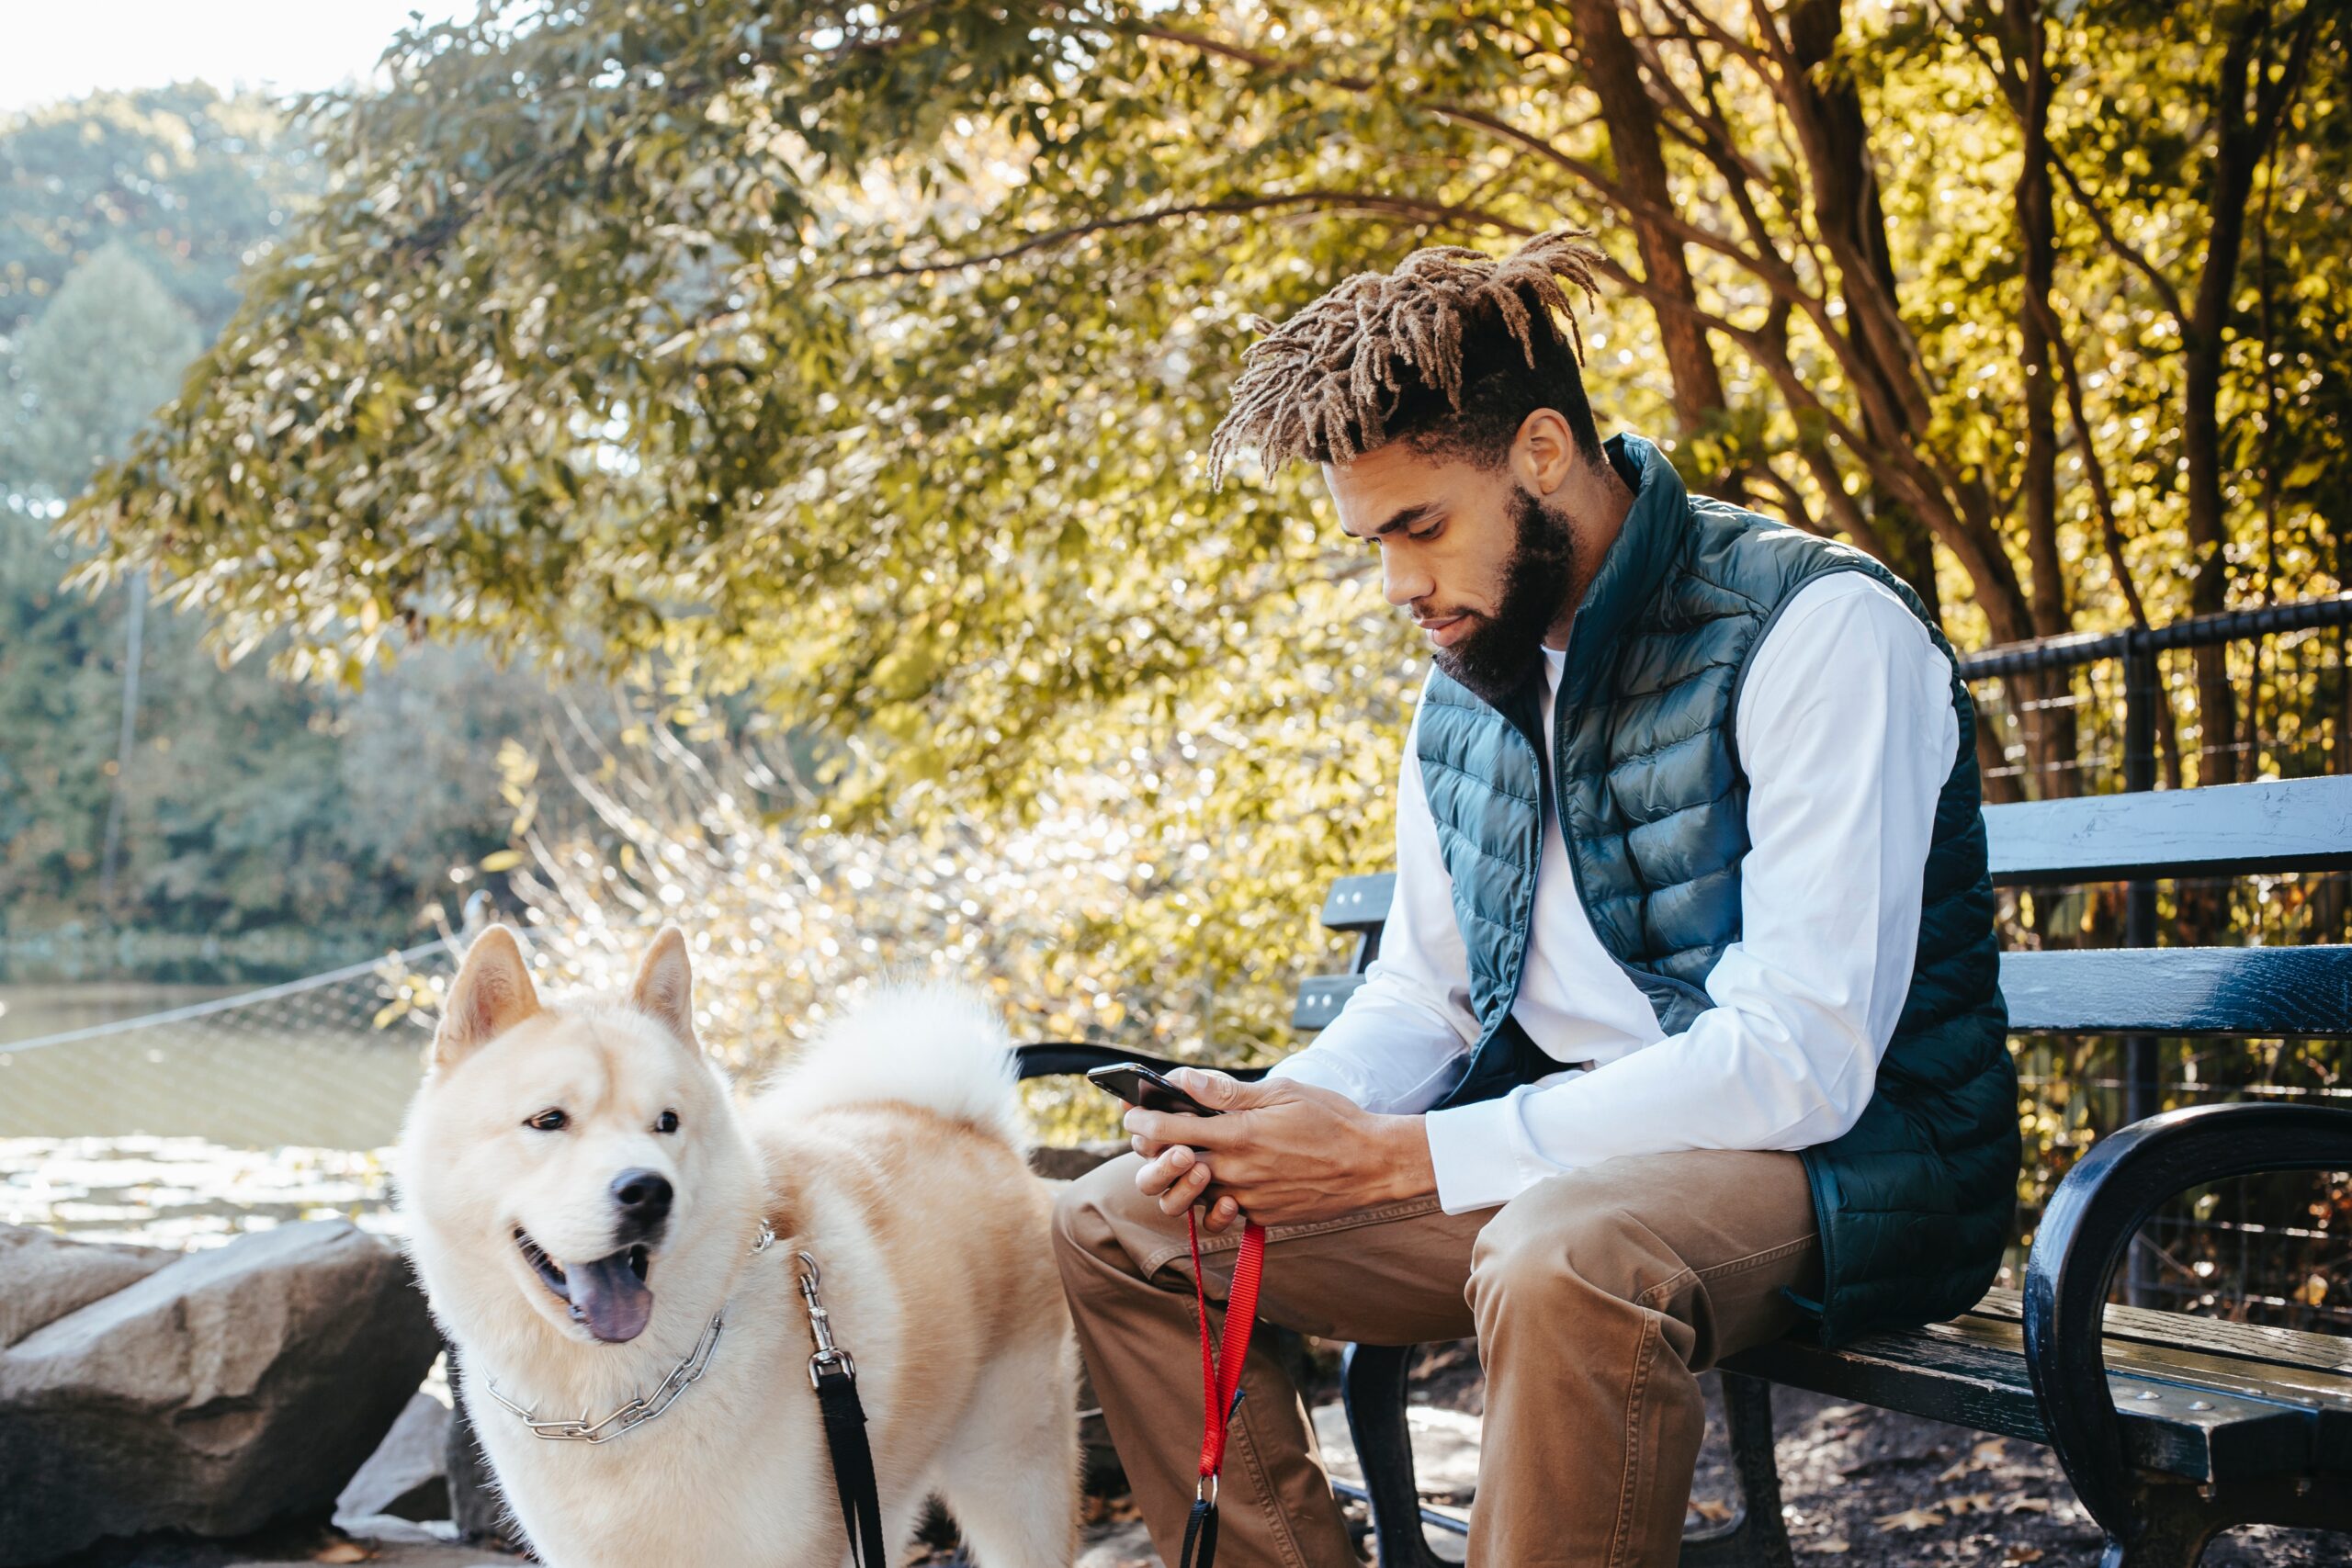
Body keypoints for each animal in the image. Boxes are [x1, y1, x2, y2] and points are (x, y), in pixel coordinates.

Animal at [400, 926, 1077, 1561]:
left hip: (1009, 1477)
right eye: (548, 1120)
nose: (648, 1191)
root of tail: (971, 1127)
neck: (615, 1402)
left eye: (666, 1122)